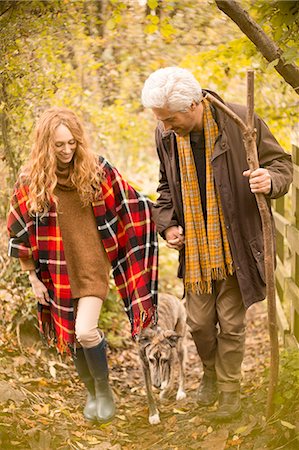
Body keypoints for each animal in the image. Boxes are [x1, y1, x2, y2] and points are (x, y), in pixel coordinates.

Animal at [138, 294, 188, 424]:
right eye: (151, 360)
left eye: (164, 360)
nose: (156, 384)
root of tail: (174, 297)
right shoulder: (144, 365)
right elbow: (149, 392)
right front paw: (153, 414)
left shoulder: (170, 358)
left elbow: (171, 381)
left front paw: (164, 394)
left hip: (179, 346)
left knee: (181, 369)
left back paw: (180, 391)